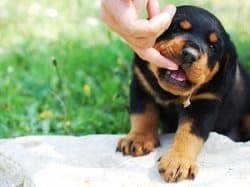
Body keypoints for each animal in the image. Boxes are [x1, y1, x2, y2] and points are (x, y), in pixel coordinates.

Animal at [115, 5, 250, 183]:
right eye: (178, 28)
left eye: (213, 47)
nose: (190, 54)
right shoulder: (141, 85)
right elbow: (142, 115)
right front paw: (138, 138)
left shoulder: (204, 104)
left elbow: (188, 134)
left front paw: (178, 161)